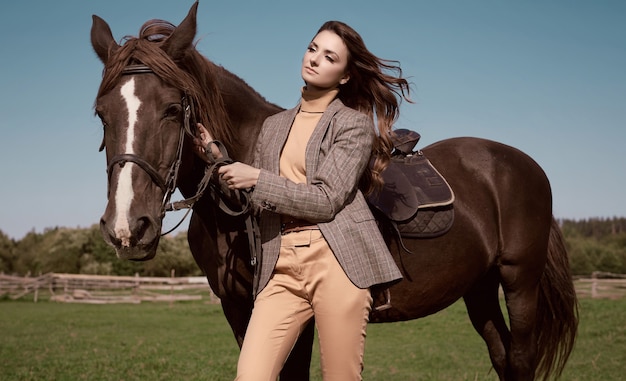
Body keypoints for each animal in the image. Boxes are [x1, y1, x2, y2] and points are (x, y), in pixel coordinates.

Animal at [90, 2, 576, 378]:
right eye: (101, 113)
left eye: (173, 110)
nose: (127, 228)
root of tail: (522, 164)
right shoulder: (239, 310)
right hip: (479, 287)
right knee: (502, 356)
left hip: (520, 281)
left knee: (521, 359)